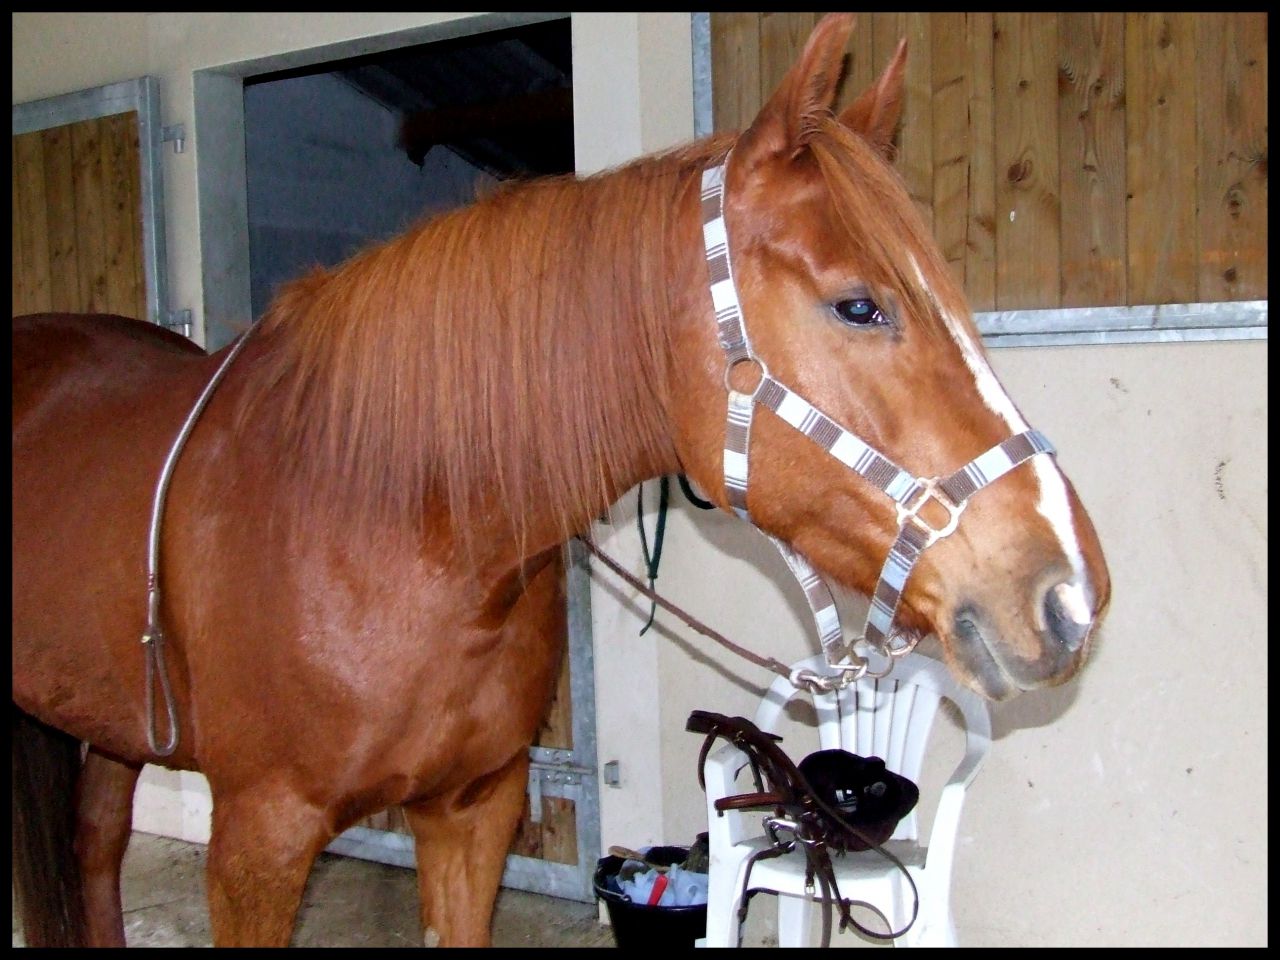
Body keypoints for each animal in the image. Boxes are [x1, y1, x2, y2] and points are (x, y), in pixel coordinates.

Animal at [11, 13, 1109, 948]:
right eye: (858, 305)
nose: (1068, 593)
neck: (388, 521)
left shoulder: (472, 812)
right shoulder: (258, 840)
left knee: (96, 855)